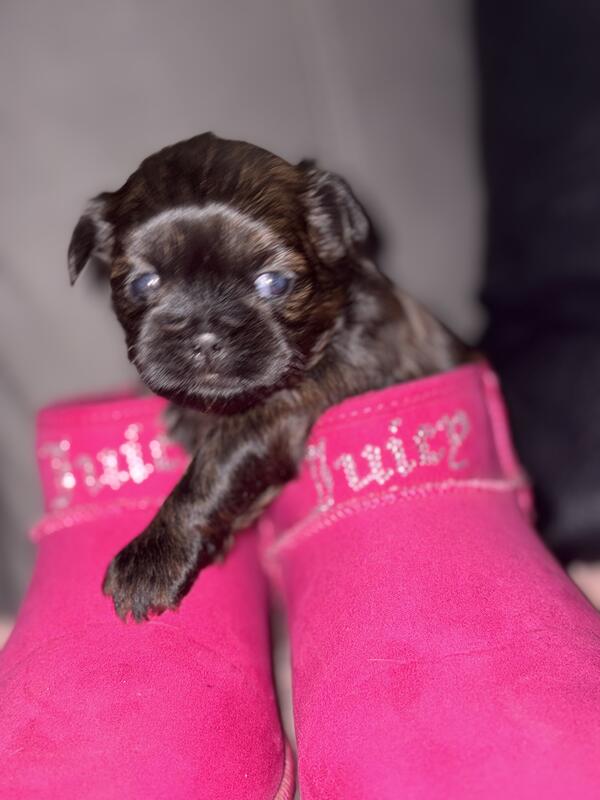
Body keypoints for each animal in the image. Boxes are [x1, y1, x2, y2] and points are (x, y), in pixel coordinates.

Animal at [68, 132, 468, 621]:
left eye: (274, 282)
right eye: (144, 284)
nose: (205, 336)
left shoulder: (290, 402)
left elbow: (219, 463)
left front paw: (155, 555)